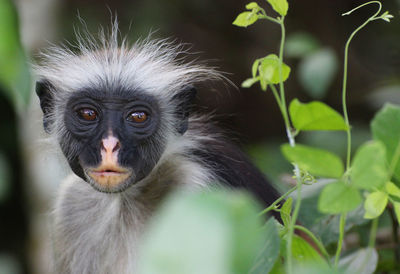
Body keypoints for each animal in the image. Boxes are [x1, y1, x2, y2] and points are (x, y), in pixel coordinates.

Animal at [34, 24, 280, 274]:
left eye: (138, 117)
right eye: (87, 114)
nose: (109, 146)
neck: (125, 199)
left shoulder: (200, 189)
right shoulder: (70, 202)